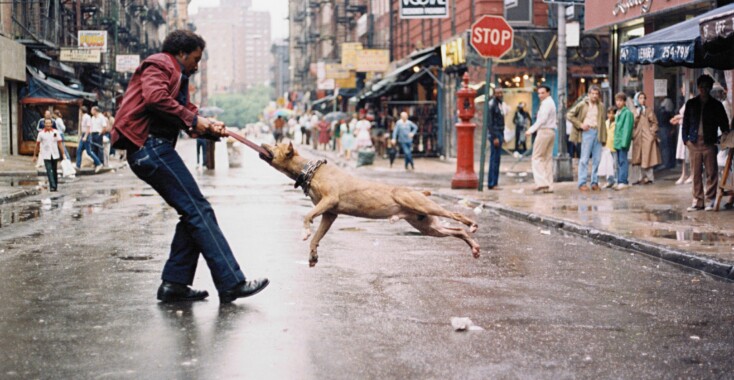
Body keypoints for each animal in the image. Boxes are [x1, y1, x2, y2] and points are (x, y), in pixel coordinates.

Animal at [264, 141, 484, 266]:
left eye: (276, 145)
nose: (263, 144)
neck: (308, 169)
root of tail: (419, 191)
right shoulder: (329, 213)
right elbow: (317, 236)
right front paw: (312, 255)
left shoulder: (329, 201)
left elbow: (307, 216)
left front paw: (305, 232)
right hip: (427, 225)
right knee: (456, 231)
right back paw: (473, 246)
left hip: (421, 205)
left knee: (456, 216)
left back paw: (472, 224)